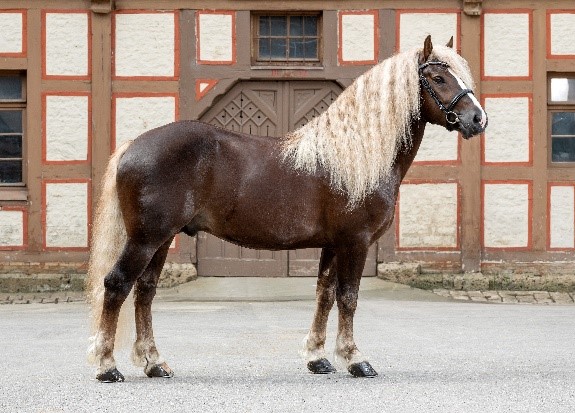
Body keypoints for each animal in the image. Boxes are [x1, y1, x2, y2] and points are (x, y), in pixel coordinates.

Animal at [88, 37, 488, 382]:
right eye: (438, 78)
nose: (478, 120)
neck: (355, 156)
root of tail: (132, 146)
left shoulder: (333, 244)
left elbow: (325, 294)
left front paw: (318, 358)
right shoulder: (355, 242)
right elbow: (348, 298)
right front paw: (356, 360)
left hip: (160, 241)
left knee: (145, 292)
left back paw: (155, 363)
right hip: (145, 239)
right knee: (117, 284)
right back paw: (107, 367)